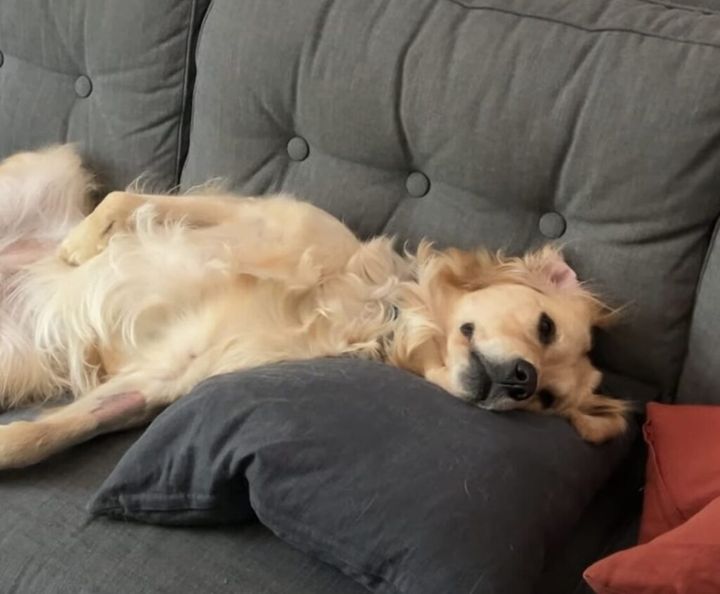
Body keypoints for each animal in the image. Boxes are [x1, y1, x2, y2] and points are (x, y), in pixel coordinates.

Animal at [0, 145, 629, 469]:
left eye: (548, 402)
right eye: (545, 327)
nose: (523, 381)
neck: (372, 308)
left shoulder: (169, 374)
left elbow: (46, 434)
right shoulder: (258, 215)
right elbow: (122, 199)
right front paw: (81, 246)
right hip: (46, 168)